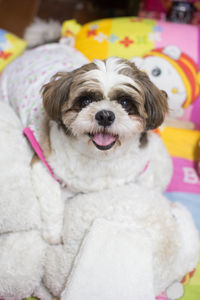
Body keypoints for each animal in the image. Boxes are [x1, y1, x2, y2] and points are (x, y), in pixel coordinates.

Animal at [0, 41, 172, 244]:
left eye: (125, 102)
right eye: (85, 100)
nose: (105, 115)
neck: (100, 158)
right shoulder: (43, 164)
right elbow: (52, 201)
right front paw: (53, 232)